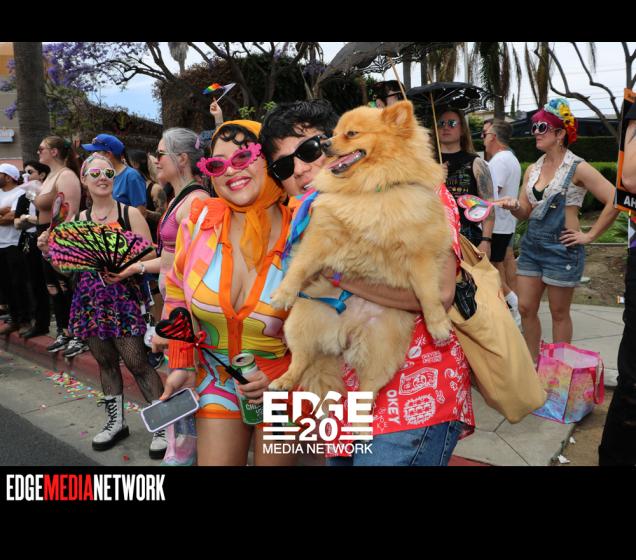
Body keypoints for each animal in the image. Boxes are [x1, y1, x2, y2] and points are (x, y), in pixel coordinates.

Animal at [269, 100, 452, 399]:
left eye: (351, 133)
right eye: (332, 133)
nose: (325, 144)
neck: (370, 187)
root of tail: (344, 334)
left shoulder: (418, 253)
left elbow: (429, 293)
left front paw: (437, 325)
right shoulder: (322, 237)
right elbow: (300, 266)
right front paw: (284, 293)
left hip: (381, 353)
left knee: (367, 391)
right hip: (298, 323)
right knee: (300, 359)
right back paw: (283, 380)